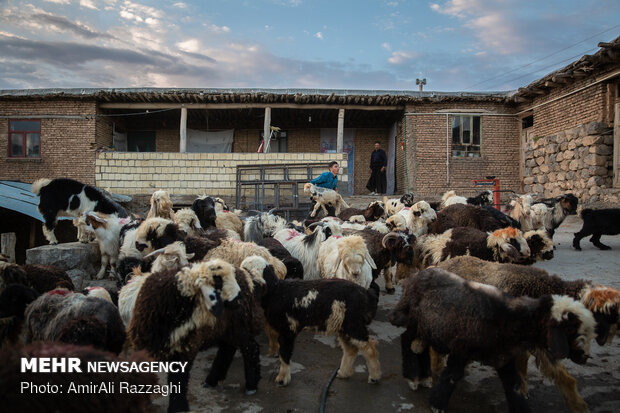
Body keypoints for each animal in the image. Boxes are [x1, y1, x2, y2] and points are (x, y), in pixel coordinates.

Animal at [258, 258, 382, 386]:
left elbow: (284, 353)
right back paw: (344, 373)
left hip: (354, 324)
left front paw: (282, 379)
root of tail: (366, 294)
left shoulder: (287, 329)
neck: (276, 291)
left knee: (370, 347)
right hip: (344, 326)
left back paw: (374, 376)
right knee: (351, 349)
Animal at [390, 268, 600, 412]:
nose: (584, 357)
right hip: (413, 321)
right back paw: (413, 377)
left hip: (428, 327)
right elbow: (451, 376)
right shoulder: (461, 348)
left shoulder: (504, 359)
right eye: (571, 329)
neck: (509, 318)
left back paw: (424, 376)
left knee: (419, 347)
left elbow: (513, 386)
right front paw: (437, 404)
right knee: (407, 341)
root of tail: (415, 276)